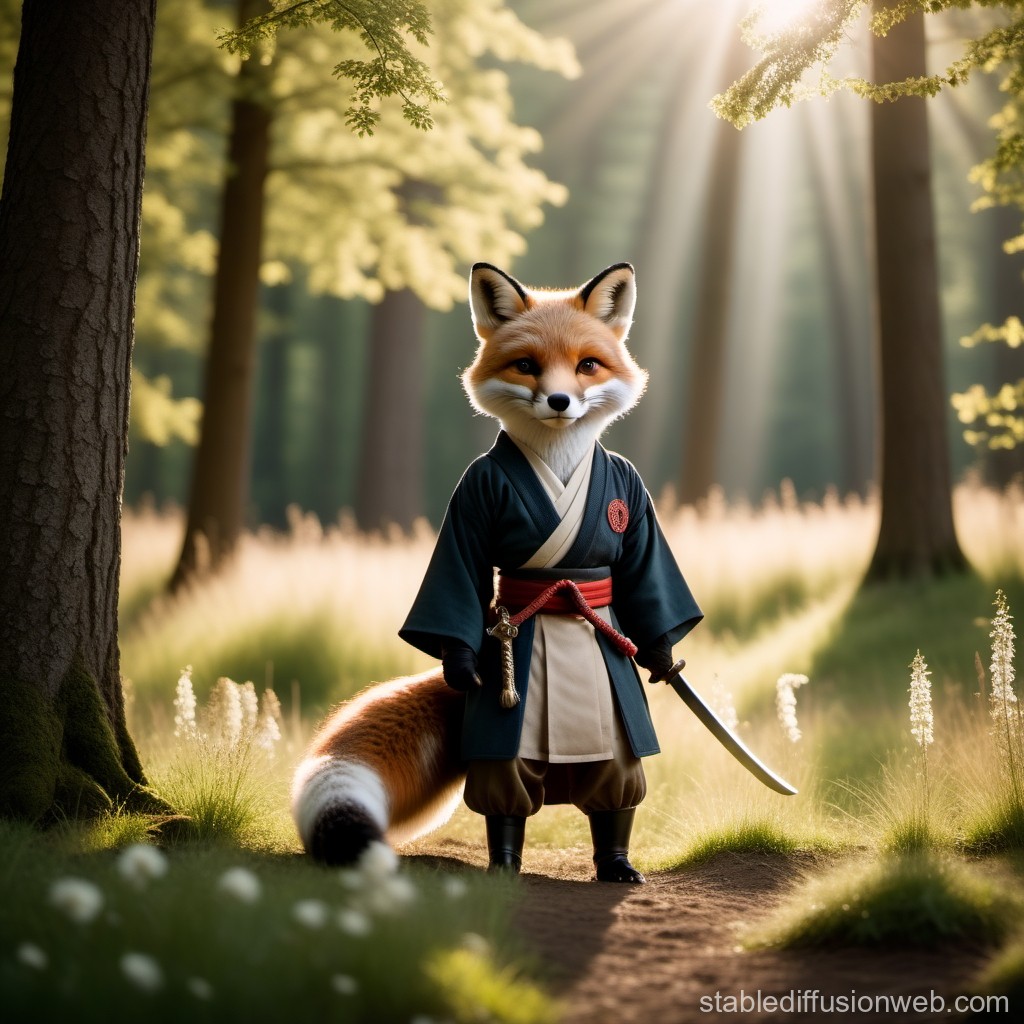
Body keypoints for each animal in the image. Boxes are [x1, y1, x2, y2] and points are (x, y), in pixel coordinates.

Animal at [293, 262, 700, 875]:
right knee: (504, 791)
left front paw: (661, 655)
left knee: (615, 785)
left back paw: (614, 863)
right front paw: (462, 665)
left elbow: (651, 591)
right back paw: (504, 861)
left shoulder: (637, 507)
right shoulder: (468, 501)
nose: (559, 400)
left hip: (618, 738)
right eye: (526, 365)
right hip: (505, 735)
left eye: (587, 365)